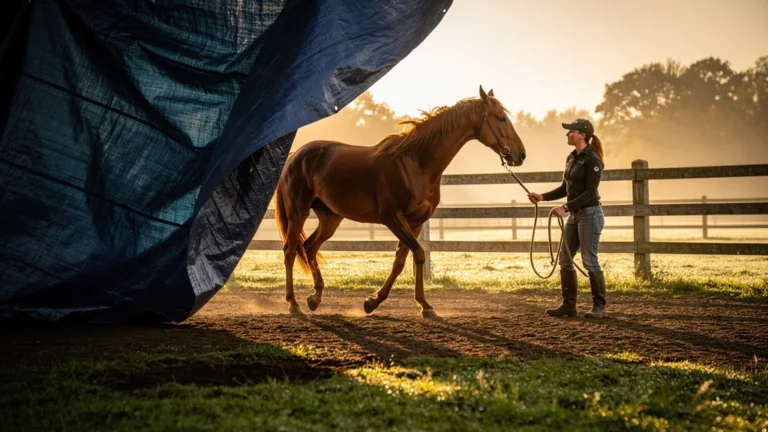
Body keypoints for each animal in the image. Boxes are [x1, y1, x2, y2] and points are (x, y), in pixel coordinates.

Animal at [274, 85, 526, 318]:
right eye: (501, 118)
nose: (521, 155)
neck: (415, 163)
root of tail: (295, 156)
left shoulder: (416, 222)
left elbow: (402, 261)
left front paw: (378, 302)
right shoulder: (393, 218)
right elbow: (419, 254)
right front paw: (421, 305)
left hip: (330, 218)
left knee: (310, 247)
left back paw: (315, 298)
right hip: (298, 212)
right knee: (290, 251)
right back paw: (294, 304)